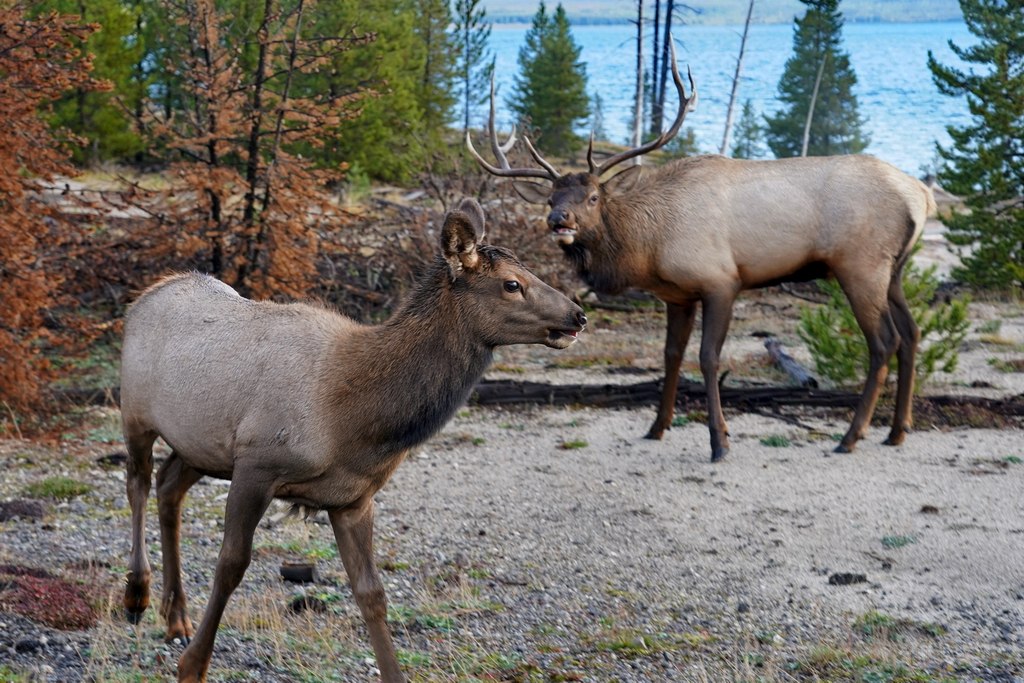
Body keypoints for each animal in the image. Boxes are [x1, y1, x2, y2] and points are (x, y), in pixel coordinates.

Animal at [468, 41, 937, 458]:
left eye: (594, 196)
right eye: (551, 198)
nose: (558, 220)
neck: (649, 248)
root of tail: (920, 195)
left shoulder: (721, 282)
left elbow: (708, 358)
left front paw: (719, 441)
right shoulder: (678, 296)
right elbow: (670, 356)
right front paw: (657, 426)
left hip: (860, 265)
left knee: (884, 342)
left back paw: (851, 437)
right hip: (894, 270)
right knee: (913, 333)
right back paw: (897, 431)